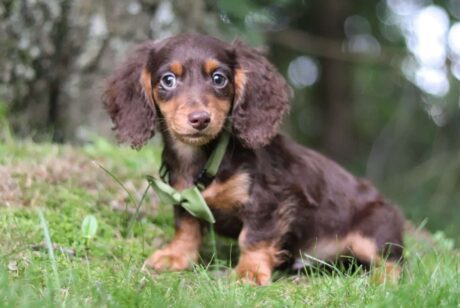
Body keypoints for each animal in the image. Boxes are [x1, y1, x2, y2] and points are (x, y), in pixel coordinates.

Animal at [103, 33, 402, 284]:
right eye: (168, 80)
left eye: (219, 78)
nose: (200, 119)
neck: (206, 158)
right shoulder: (183, 194)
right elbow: (186, 225)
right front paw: (176, 255)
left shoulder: (268, 199)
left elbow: (254, 237)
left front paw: (250, 271)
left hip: (374, 232)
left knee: (393, 264)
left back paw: (380, 282)